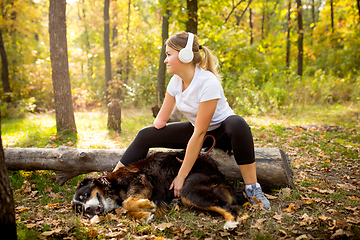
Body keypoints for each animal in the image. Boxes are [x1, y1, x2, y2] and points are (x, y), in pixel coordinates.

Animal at [73, 151, 248, 230]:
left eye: (85, 195)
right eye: (80, 209)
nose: (88, 209)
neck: (112, 186)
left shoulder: (141, 179)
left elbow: (127, 203)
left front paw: (145, 206)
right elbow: (126, 210)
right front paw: (145, 215)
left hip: (188, 190)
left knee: (229, 207)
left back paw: (230, 223)